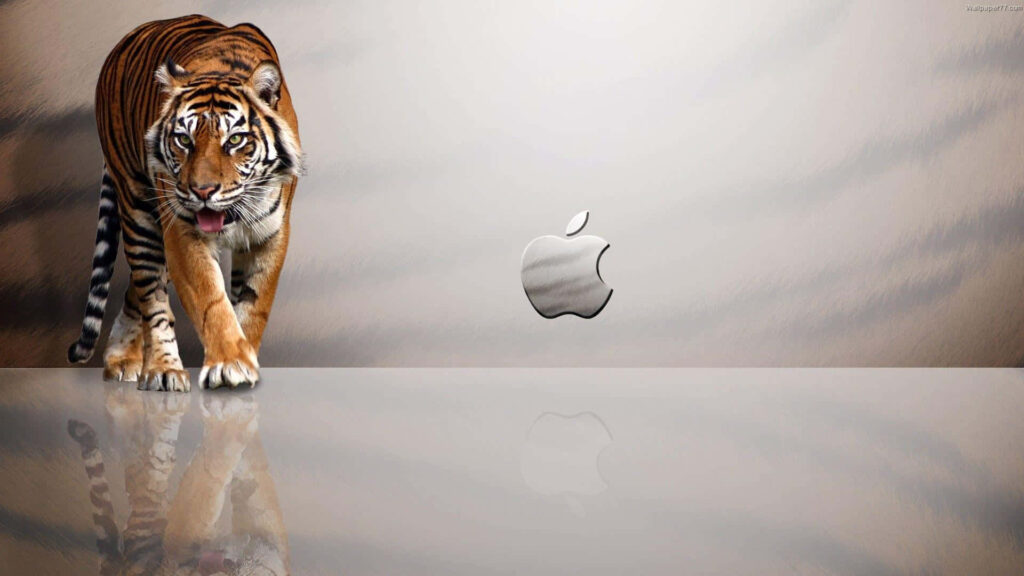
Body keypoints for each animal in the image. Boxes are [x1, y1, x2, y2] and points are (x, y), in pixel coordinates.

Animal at [66, 14, 303, 391]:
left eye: (234, 140)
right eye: (184, 140)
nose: (202, 190)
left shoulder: (271, 233)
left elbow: (254, 303)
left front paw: (245, 357)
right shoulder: (182, 231)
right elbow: (211, 301)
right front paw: (229, 362)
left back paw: (122, 357)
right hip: (138, 212)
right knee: (152, 296)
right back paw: (159, 369)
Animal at [67, 389, 290, 575]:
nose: (224, 563)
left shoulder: (179, 544)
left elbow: (211, 471)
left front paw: (229, 417)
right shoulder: (266, 531)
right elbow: (256, 472)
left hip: (150, 514)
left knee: (146, 464)